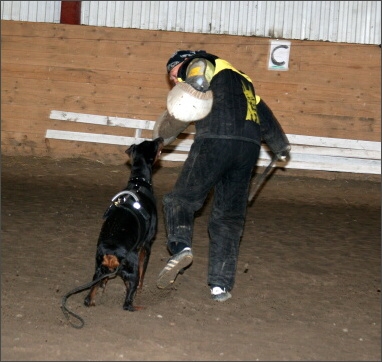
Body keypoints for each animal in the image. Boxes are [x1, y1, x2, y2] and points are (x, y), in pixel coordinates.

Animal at [83, 137, 163, 312]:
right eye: (154, 144)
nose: (160, 138)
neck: (138, 183)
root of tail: (112, 253)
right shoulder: (147, 245)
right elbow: (143, 272)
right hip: (132, 273)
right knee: (127, 303)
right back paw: (139, 307)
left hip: (98, 270)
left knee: (88, 296)